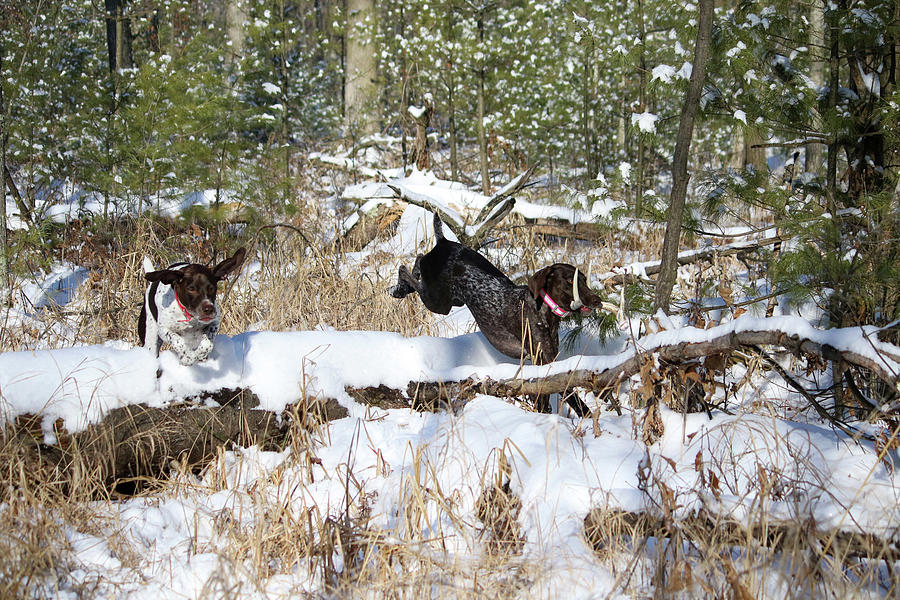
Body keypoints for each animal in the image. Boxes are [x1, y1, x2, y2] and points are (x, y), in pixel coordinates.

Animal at [390, 213, 600, 414]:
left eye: (584, 279)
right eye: (569, 281)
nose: (597, 300)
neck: (543, 310)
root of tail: (443, 242)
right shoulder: (543, 361)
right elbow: (571, 396)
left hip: (451, 298)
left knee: (418, 263)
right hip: (438, 302)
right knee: (411, 265)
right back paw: (398, 288)